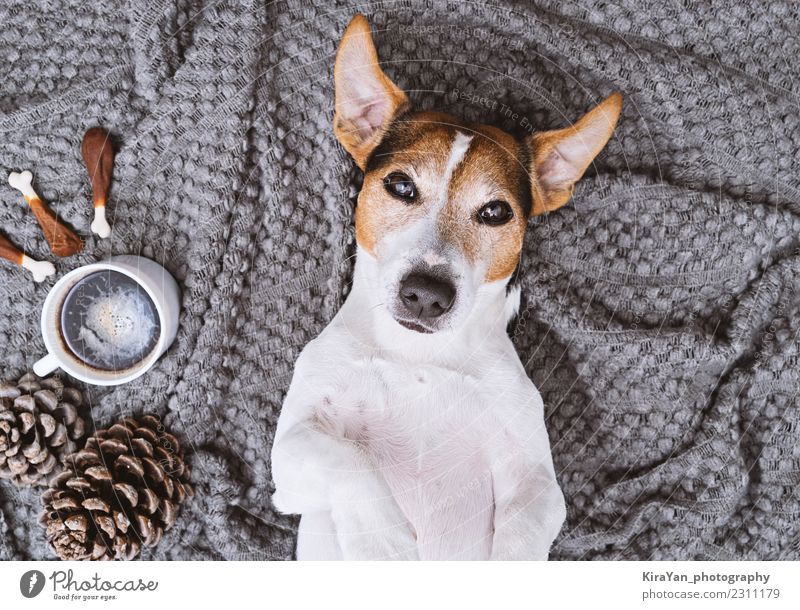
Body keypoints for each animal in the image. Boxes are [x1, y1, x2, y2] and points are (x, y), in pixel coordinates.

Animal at [272, 14, 620, 560]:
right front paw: (387, 545)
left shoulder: (535, 483)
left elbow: (522, 535)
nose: (427, 294)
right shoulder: (291, 456)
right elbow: (351, 460)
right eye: (400, 186)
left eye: (496, 212)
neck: (417, 355)